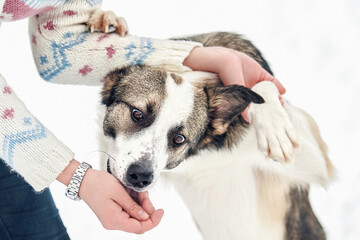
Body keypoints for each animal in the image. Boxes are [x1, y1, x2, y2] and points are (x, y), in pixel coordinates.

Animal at [91, 9, 334, 240]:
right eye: (137, 114)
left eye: (178, 139)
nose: (141, 177)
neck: (204, 158)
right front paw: (107, 20)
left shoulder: (317, 166)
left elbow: (261, 84)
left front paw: (275, 128)